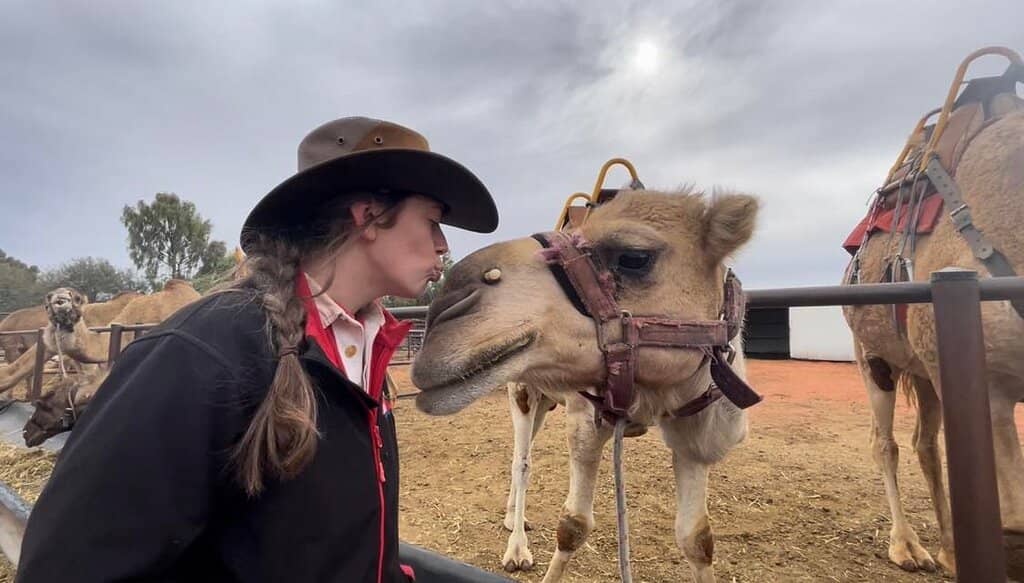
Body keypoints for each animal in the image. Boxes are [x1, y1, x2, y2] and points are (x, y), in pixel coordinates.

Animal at [412, 188, 758, 582]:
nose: (445, 306)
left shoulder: (693, 426)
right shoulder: (585, 418)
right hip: (521, 389)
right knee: (522, 460)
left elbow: (697, 537)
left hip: (545, 399)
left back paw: (513, 517)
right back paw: (517, 549)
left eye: (634, 257)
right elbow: (573, 526)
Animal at [842, 51, 1024, 575]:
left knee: (926, 442)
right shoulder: (990, 381)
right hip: (874, 357)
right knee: (886, 443)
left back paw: (948, 549)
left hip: (924, 367)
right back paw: (909, 547)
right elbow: (1014, 522)